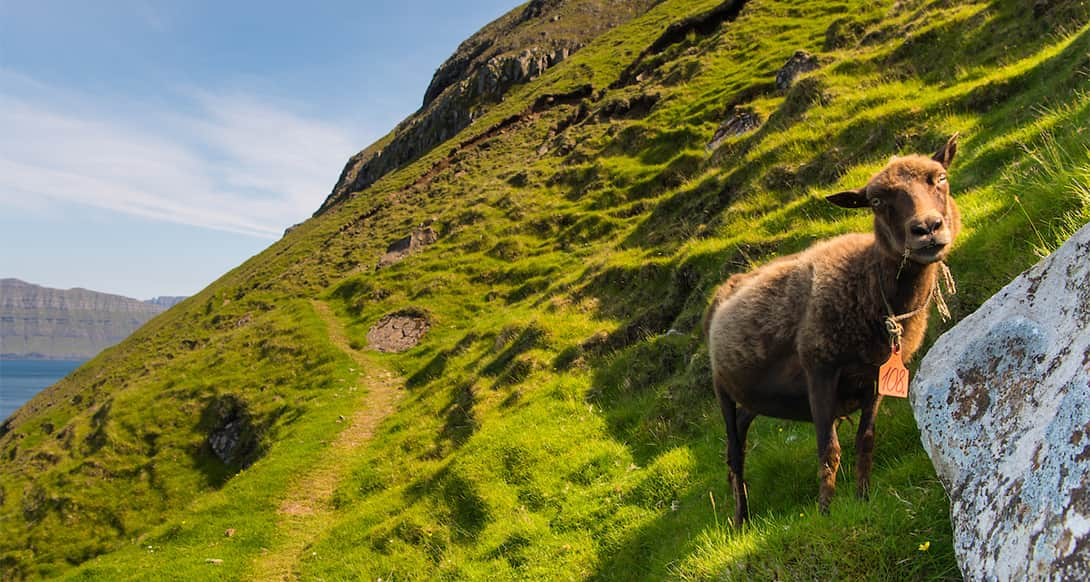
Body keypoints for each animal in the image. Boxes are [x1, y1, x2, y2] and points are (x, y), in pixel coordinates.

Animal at [701, 134, 959, 527]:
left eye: (940, 178)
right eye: (876, 202)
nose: (927, 228)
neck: (869, 283)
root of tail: (728, 285)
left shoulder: (876, 378)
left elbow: (865, 442)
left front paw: (863, 499)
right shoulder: (820, 369)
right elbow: (829, 450)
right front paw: (825, 513)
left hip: (756, 393)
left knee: (745, 425)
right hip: (722, 389)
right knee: (734, 456)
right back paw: (741, 518)